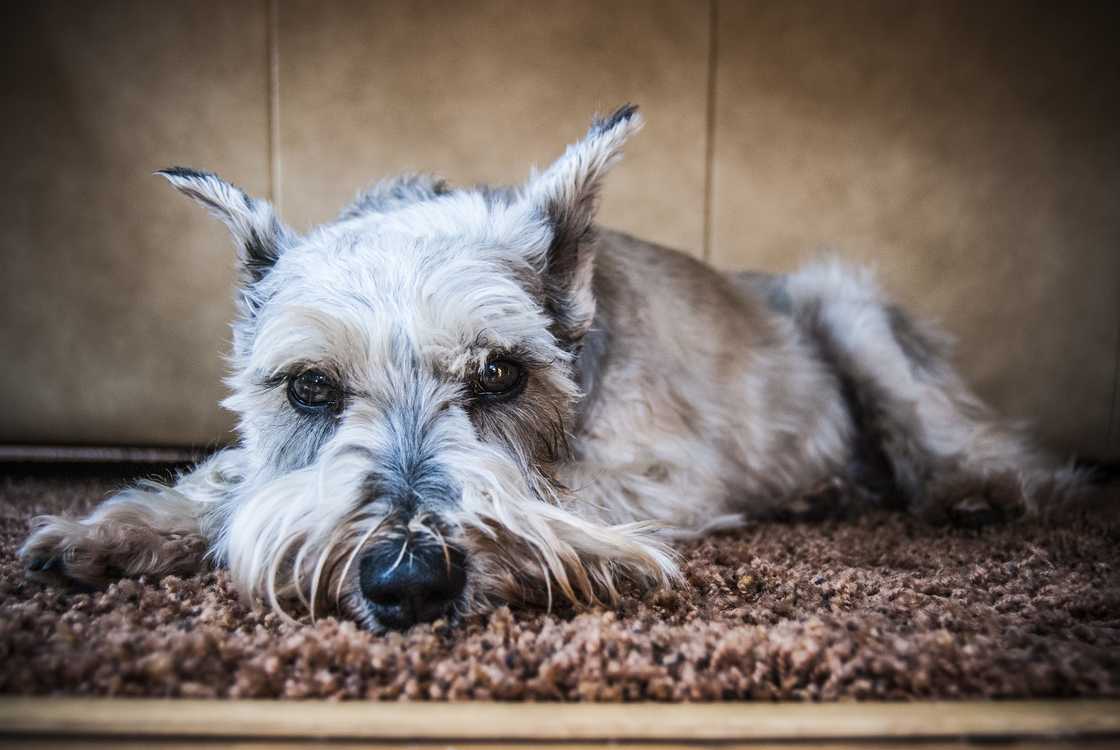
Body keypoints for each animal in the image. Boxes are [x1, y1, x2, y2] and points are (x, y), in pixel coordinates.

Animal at [21, 105, 1093, 631]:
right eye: (310, 388)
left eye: (501, 374)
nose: (407, 577)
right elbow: (236, 479)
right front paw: (109, 531)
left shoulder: (662, 470)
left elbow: (576, 498)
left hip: (847, 307)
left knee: (951, 429)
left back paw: (974, 487)